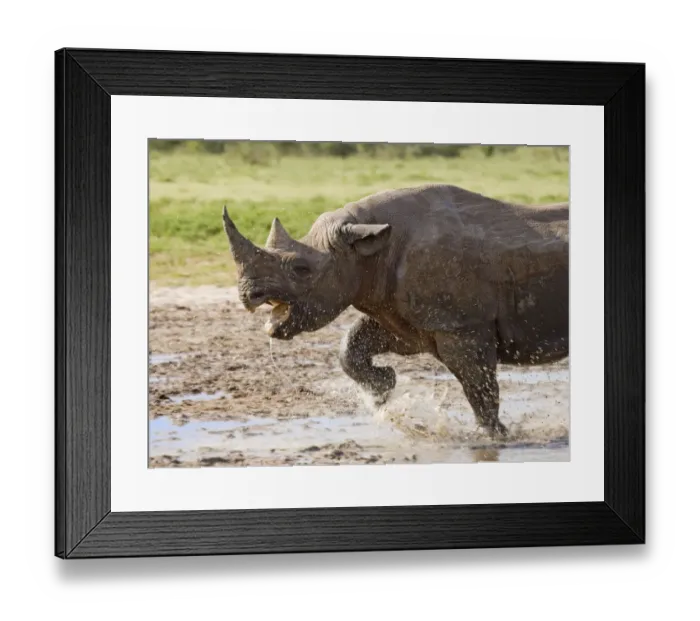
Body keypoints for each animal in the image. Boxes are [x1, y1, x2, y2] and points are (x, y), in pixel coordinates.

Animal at [222, 184, 568, 438]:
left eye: (301, 269)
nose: (248, 294)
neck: (367, 251)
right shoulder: (403, 316)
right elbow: (351, 346)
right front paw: (382, 389)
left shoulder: (461, 325)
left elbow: (479, 386)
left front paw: (493, 436)